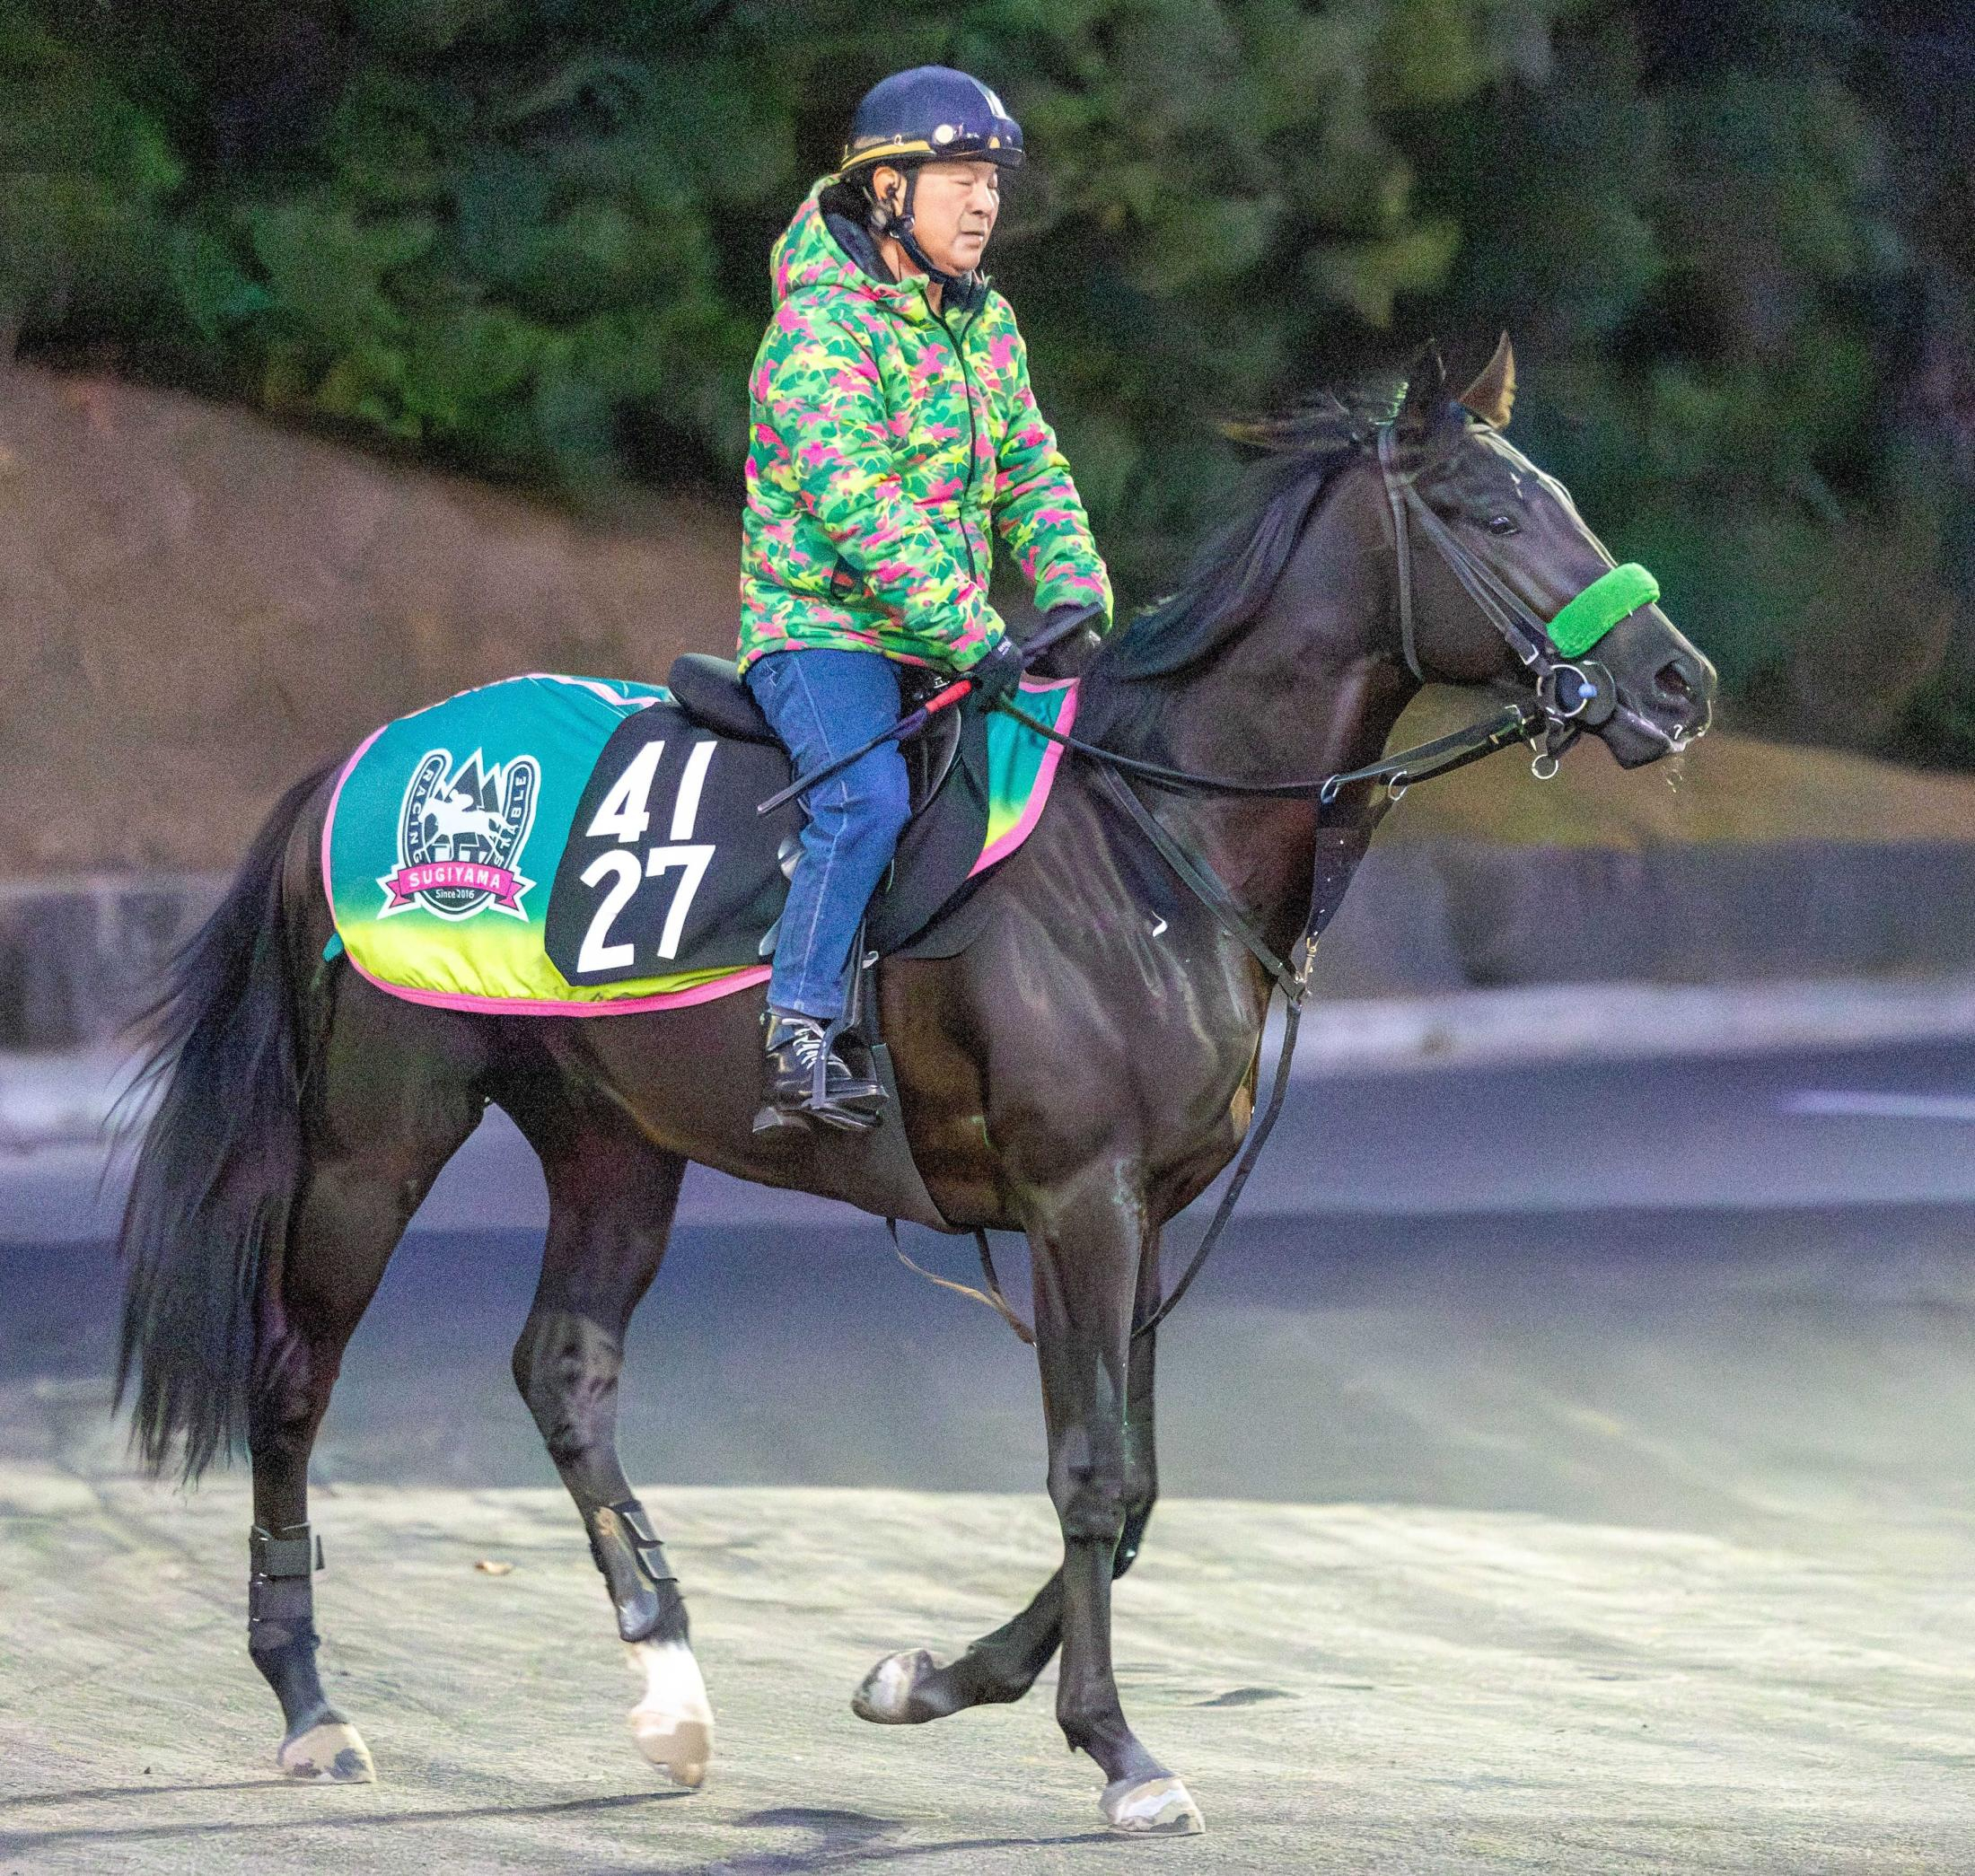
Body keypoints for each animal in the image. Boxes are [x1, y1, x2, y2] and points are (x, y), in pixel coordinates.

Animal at [115, 338, 1714, 1836]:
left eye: (1560, 499)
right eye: (1496, 511)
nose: (1676, 682)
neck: (1149, 835)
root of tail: (348, 768)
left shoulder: (1146, 1211)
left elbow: (1136, 1483)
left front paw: (930, 1679)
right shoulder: (1078, 1200)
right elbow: (1091, 1473)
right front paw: (1116, 1748)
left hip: (615, 1142)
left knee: (564, 1371)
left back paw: (671, 1696)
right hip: (374, 1141)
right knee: (292, 1377)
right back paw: (311, 1702)